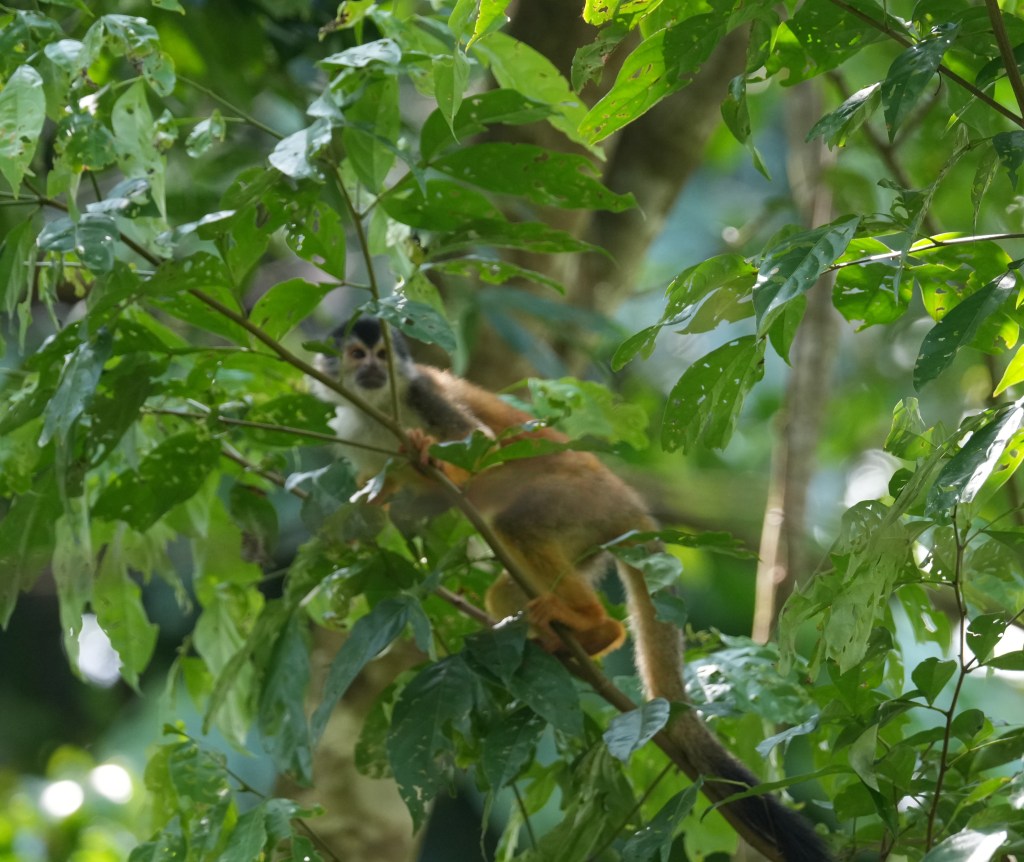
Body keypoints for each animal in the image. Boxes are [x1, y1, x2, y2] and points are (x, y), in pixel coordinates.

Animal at [312, 316, 832, 862]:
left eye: (382, 356)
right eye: (356, 355)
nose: (371, 370)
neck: (377, 407)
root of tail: (630, 504)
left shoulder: (423, 394)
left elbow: (476, 443)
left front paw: (427, 455)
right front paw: (375, 498)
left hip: (578, 501)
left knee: (519, 520)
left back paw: (595, 627)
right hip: (588, 542)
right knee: (506, 586)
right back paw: (576, 639)